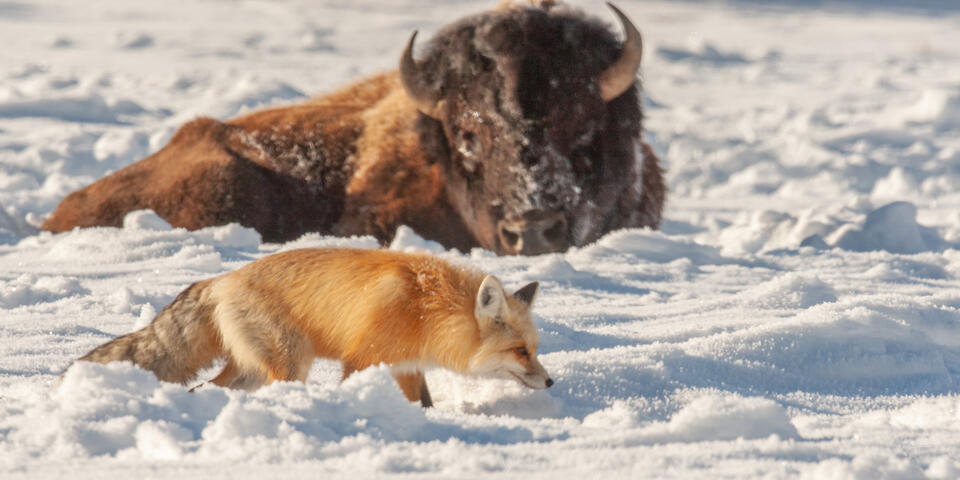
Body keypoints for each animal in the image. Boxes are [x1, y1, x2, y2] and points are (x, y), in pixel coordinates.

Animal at [74, 248, 552, 407]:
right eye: (520, 351)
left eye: (534, 348)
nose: (550, 382)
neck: (425, 309)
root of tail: (222, 279)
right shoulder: (364, 360)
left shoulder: (405, 365)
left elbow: (424, 404)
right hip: (289, 364)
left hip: (250, 372)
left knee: (201, 390)